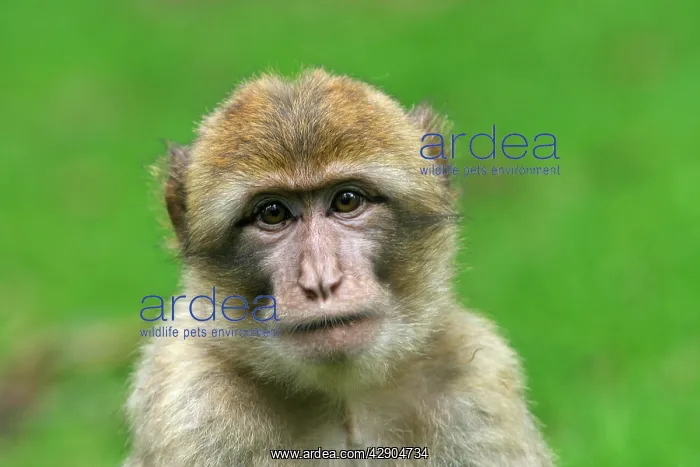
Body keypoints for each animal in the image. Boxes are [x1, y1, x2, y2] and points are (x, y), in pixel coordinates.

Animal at [124, 69, 555, 467]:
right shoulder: (195, 405)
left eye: (347, 201)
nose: (320, 282)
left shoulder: (478, 388)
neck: (345, 399)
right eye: (272, 213)